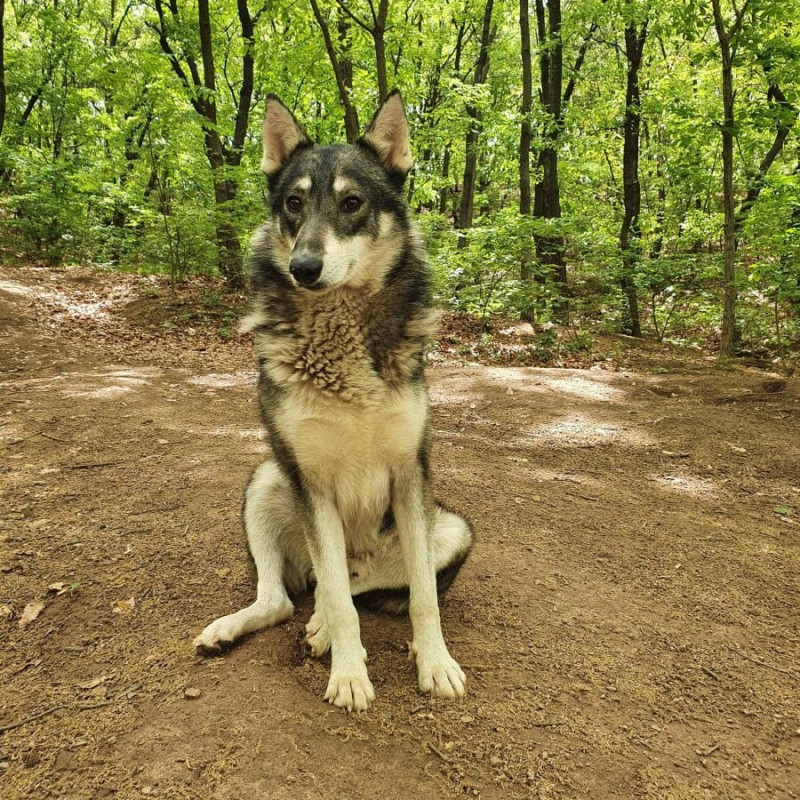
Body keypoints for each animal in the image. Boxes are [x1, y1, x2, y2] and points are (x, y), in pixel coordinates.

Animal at [192, 90, 476, 708]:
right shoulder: (310, 478)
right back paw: (248, 626)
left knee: (350, 583)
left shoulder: (410, 473)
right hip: (267, 480)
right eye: (294, 204)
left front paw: (436, 662)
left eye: (351, 203)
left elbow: (424, 598)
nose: (303, 267)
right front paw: (348, 674)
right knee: (294, 594)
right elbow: (342, 604)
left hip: (451, 529)